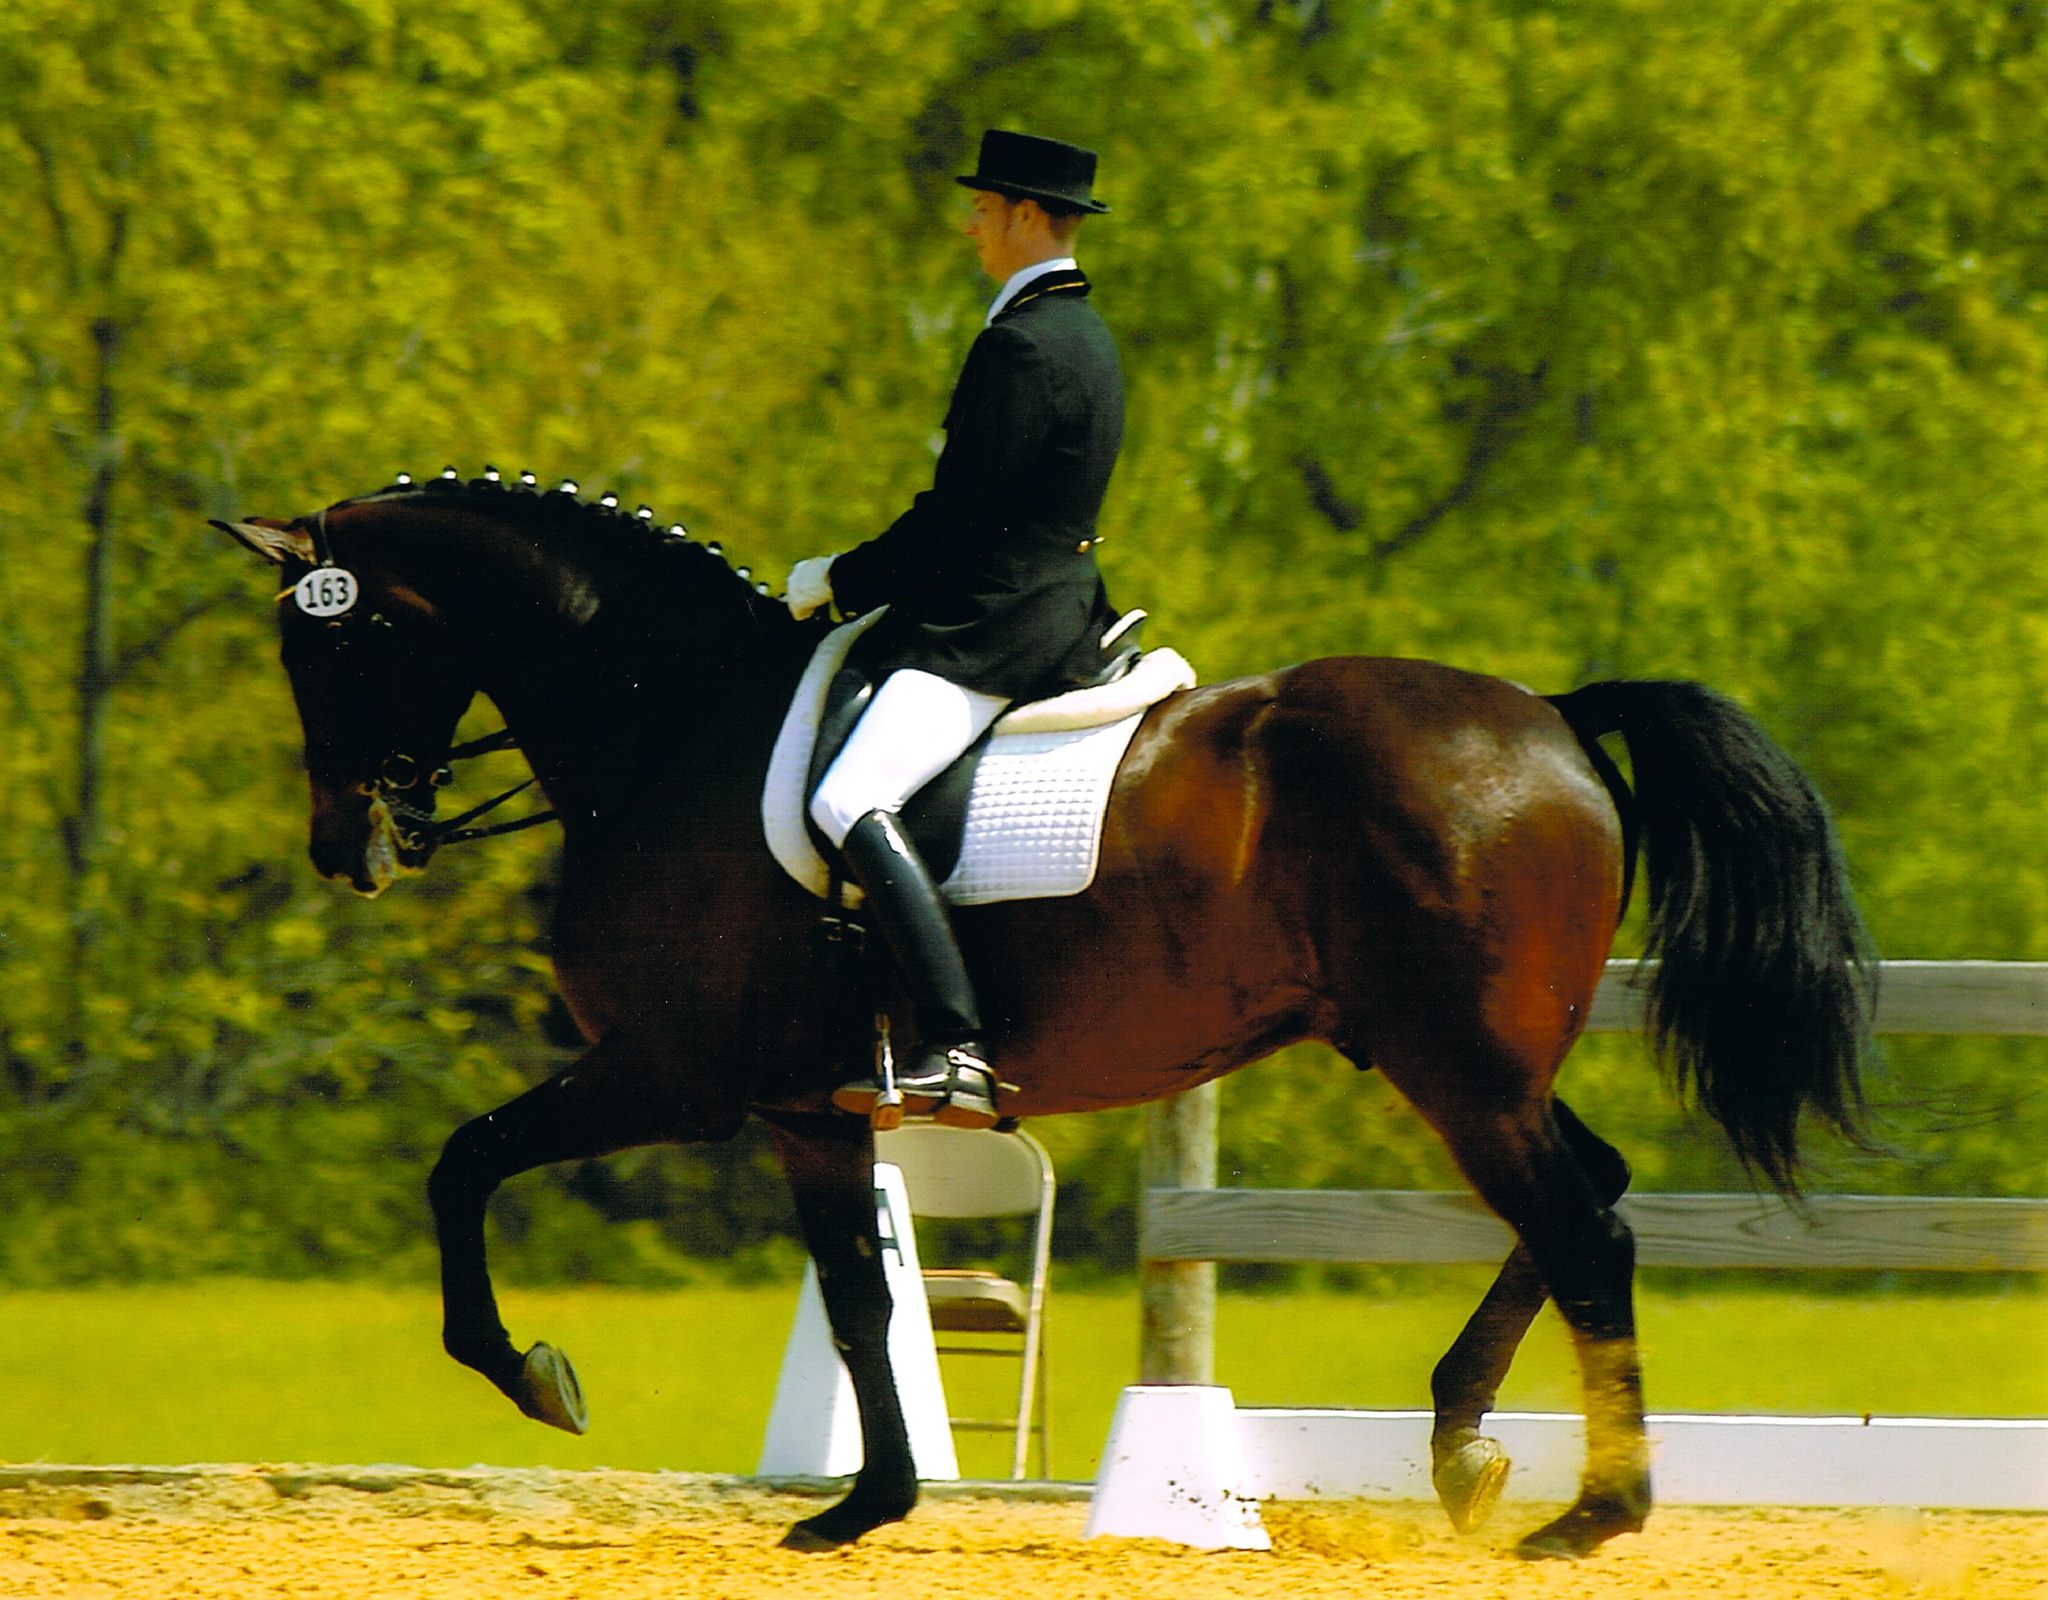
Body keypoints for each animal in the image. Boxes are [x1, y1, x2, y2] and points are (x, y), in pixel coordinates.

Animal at [216, 469, 1875, 1556]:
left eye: (329, 641)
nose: (348, 848)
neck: (673, 728)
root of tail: (1550, 717)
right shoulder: (813, 1109)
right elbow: (861, 1299)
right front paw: (867, 1505)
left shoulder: (668, 1074)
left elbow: (464, 1167)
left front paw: (534, 1376)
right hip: (1479, 1062)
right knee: (1586, 1198)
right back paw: (1466, 1446)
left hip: (1457, 1064)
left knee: (1582, 1225)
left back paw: (1597, 1510)